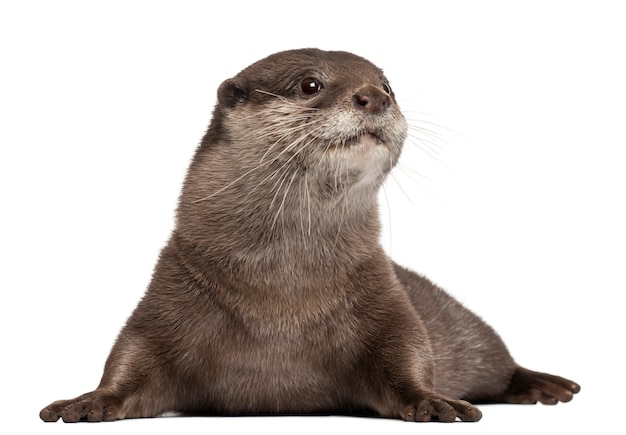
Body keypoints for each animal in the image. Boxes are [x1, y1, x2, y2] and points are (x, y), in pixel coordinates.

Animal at [39, 46, 576, 422]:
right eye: (310, 83)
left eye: (388, 84)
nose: (375, 96)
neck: (283, 300)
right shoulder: (172, 291)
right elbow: (131, 356)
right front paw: (87, 401)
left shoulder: (385, 297)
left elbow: (408, 351)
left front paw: (432, 401)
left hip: (470, 332)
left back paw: (544, 386)